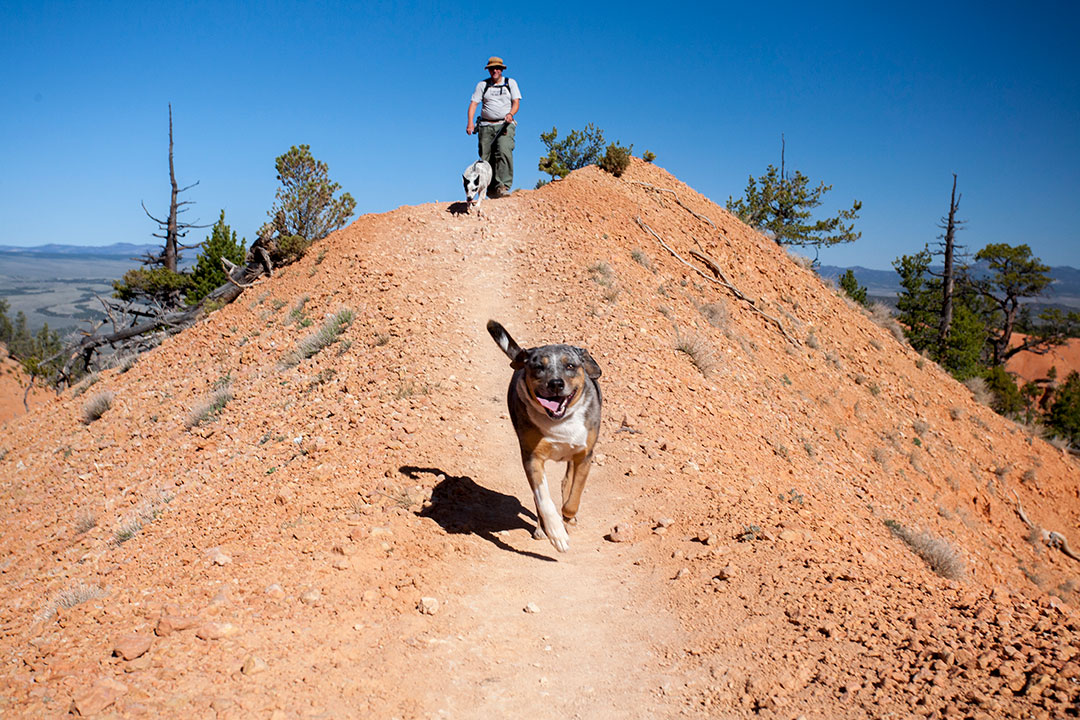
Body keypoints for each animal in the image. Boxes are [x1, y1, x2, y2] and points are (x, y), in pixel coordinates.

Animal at [488, 319, 604, 552]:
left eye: (570, 366)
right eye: (538, 367)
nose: (556, 383)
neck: (559, 421)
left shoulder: (585, 455)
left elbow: (574, 496)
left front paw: (568, 516)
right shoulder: (532, 457)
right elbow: (543, 499)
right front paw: (556, 533)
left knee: (567, 481)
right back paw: (543, 529)